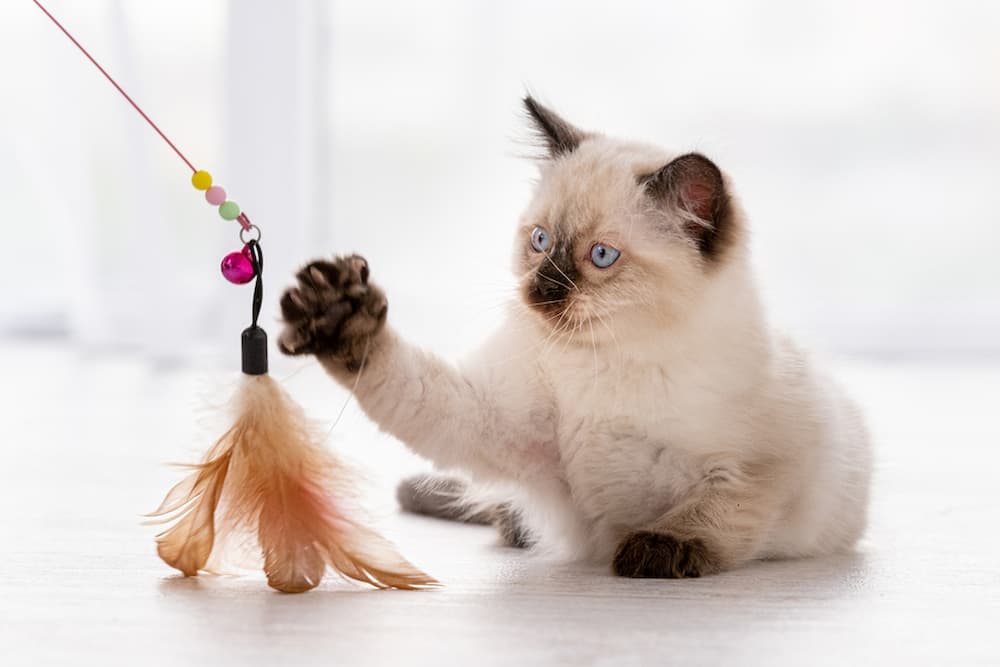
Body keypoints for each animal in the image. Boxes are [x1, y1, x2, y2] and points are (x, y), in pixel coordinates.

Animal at [278, 96, 872, 576]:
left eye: (601, 256)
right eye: (540, 241)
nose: (541, 291)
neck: (607, 362)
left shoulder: (763, 467)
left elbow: (716, 508)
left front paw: (654, 551)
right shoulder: (490, 419)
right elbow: (393, 371)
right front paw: (338, 316)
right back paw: (508, 523)